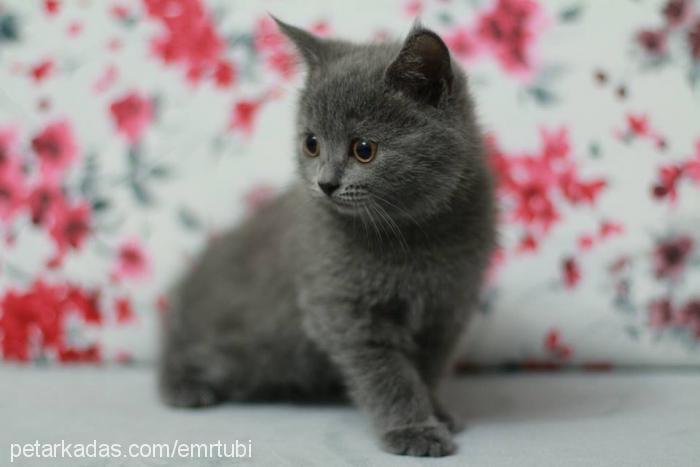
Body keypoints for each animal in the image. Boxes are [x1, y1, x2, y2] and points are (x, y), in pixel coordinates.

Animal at [159, 18, 498, 458]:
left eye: (364, 149)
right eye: (311, 143)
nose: (325, 183)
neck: (413, 234)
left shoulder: (448, 307)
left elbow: (428, 367)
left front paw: (437, 411)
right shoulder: (343, 311)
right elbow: (390, 375)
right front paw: (413, 429)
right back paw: (185, 388)